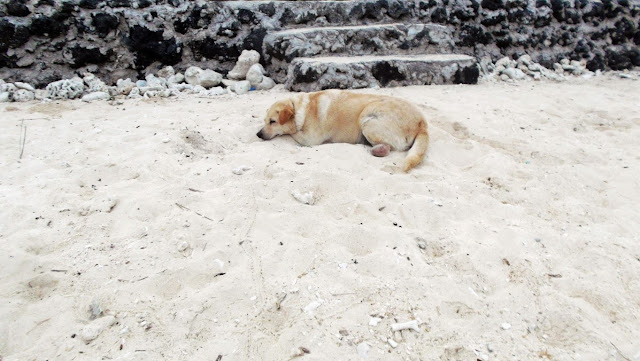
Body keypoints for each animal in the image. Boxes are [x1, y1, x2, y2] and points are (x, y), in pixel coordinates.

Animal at [256, 88, 430, 170]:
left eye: (273, 122)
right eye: (265, 121)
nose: (258, 134)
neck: (299, 108)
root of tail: (422, 122)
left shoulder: (310, 138)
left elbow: (293, 133)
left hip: (367, 118)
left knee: (388, 147)